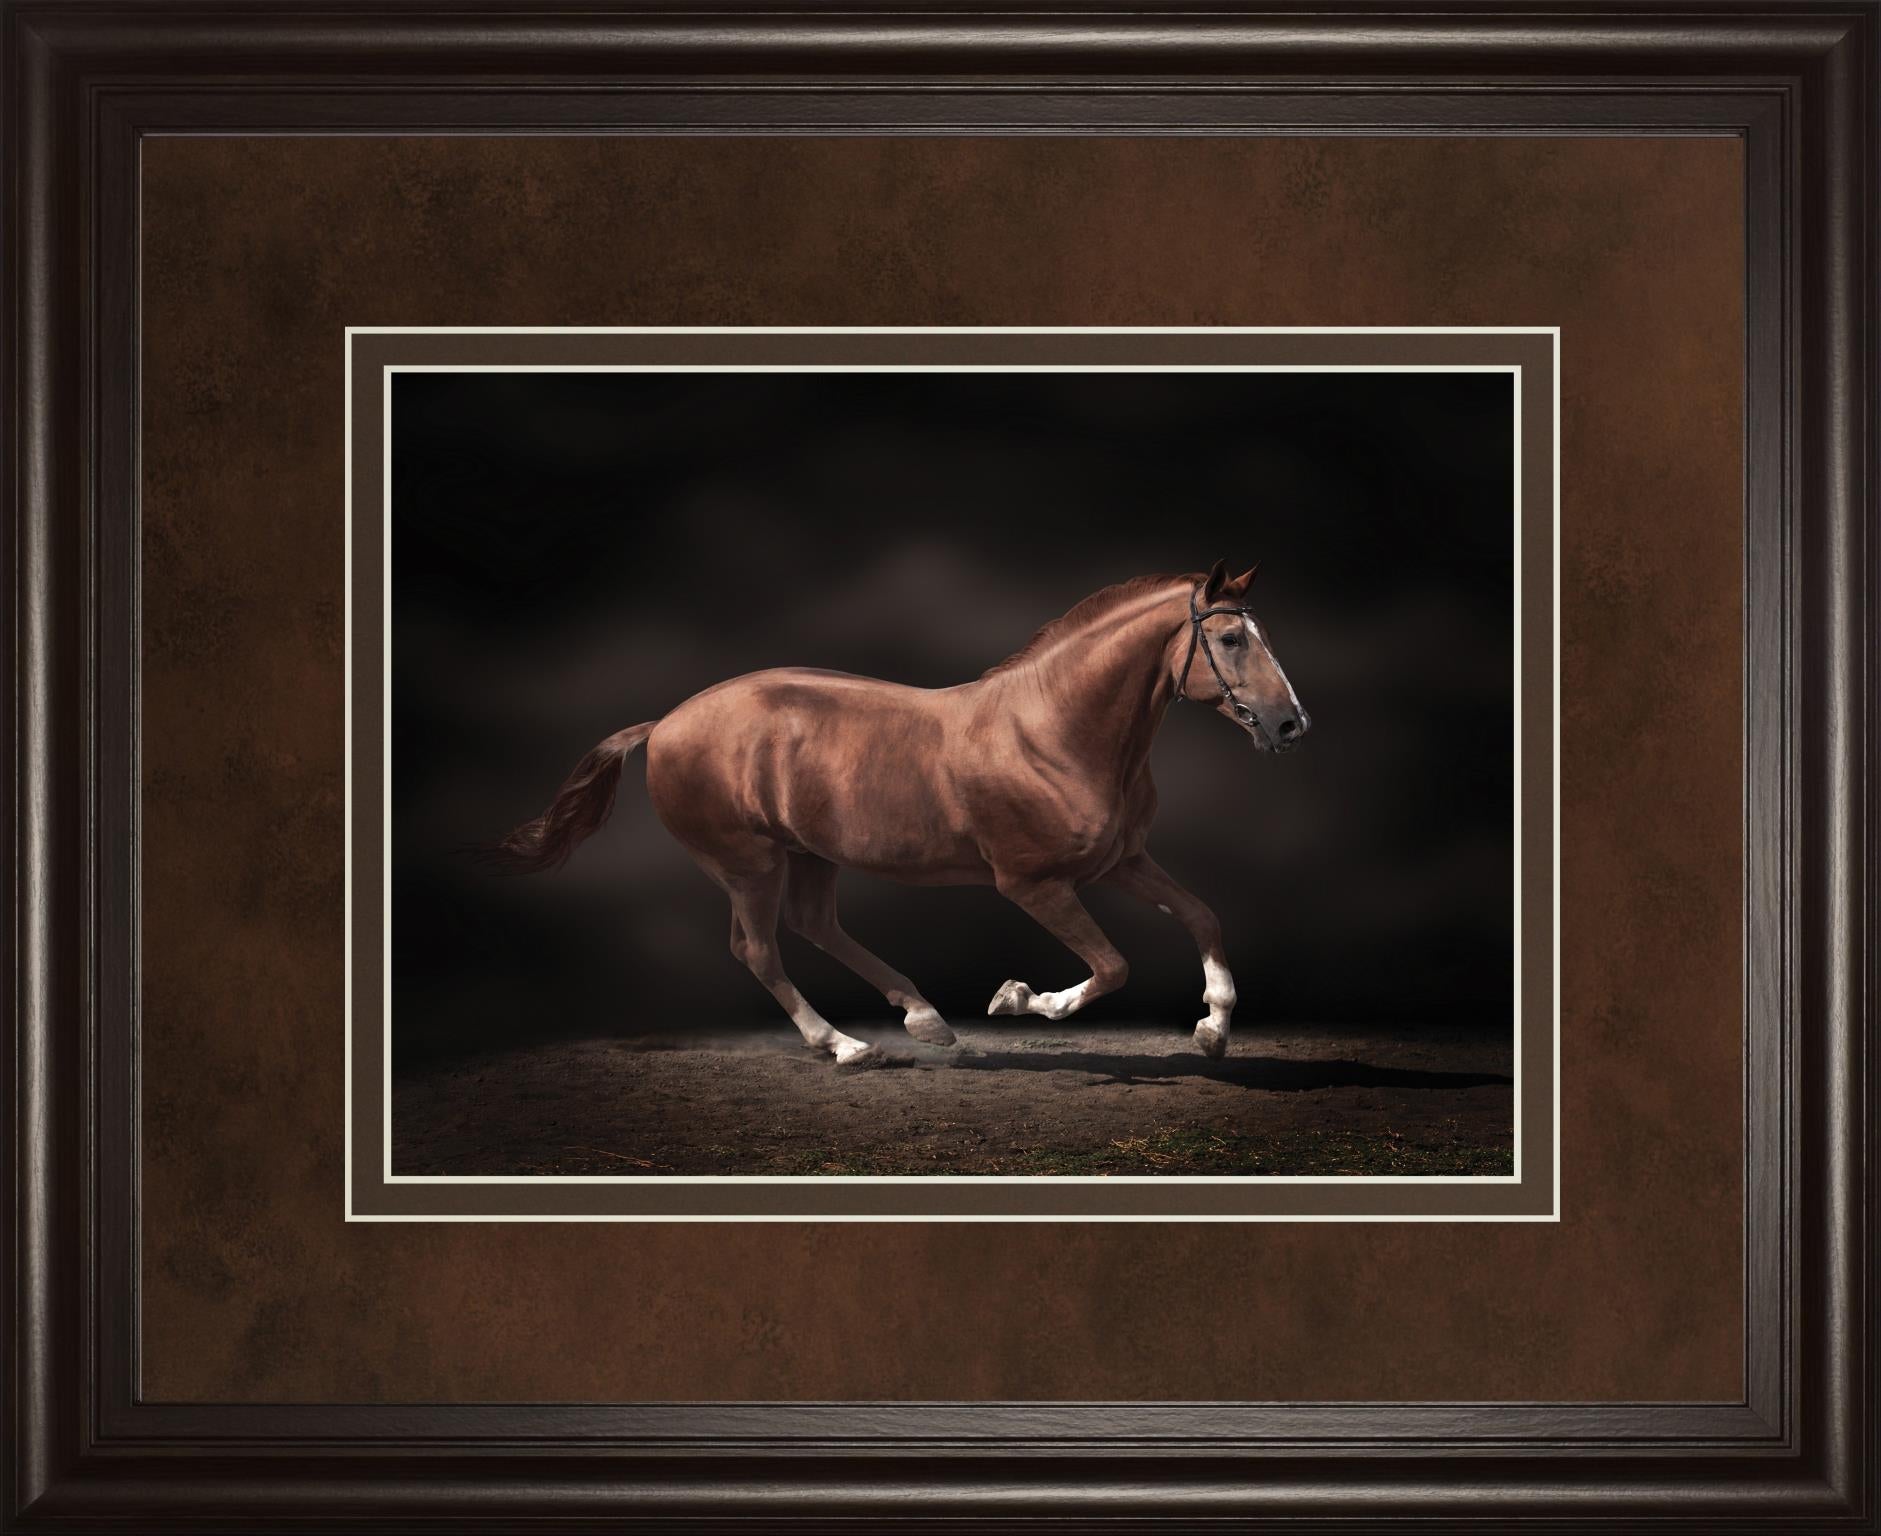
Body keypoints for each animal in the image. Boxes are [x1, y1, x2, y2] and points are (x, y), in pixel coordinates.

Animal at [487, 560, 1310, 1066]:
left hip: (810, 855)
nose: (1290, 725)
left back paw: (922, 1020)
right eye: (1231, 638)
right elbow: (1111, 966)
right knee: (758, 949)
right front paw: (1019, 999)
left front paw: (1212, 1028)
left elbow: (1202, 915)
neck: (1053, 730)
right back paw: (847, 1046)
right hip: (748, 863)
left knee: (814, 926)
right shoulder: (1033, 884)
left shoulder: (1122, 862)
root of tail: (663, 723)